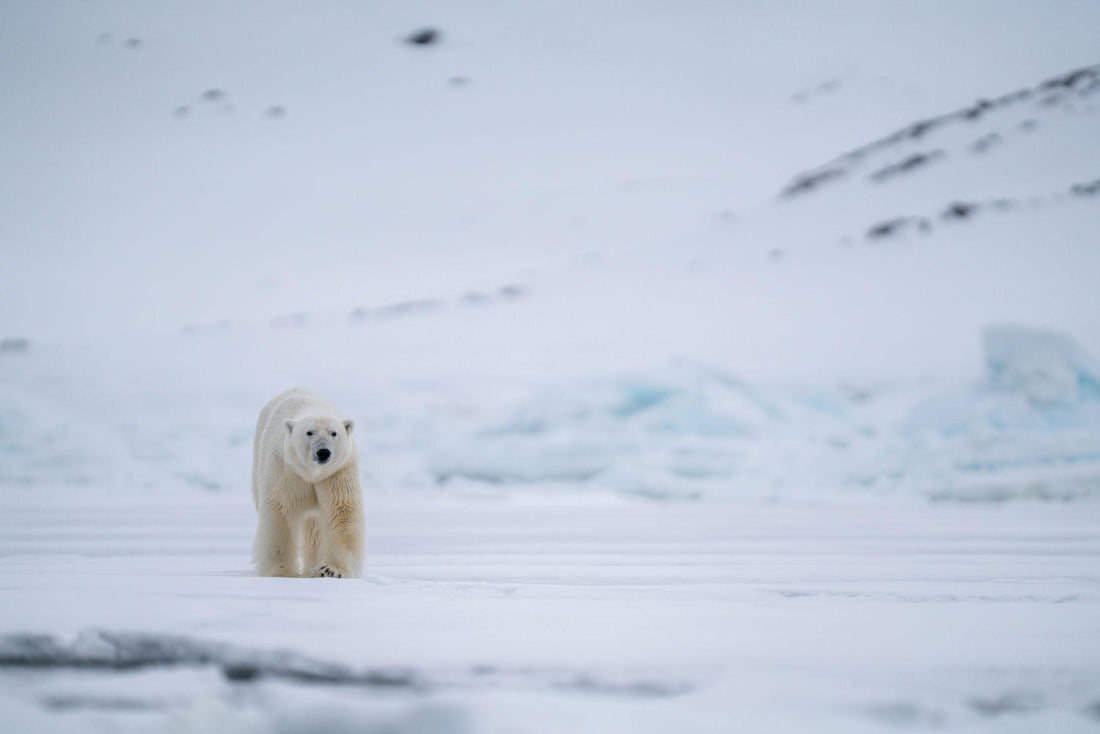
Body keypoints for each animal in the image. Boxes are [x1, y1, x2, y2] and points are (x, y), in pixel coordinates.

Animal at [251, 388, 364, 578]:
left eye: (334, 433)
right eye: (309, 432)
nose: (323, 452)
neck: (313, 473)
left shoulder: (337, 472)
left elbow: (342, 510)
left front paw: (331, 570)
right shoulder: (287, 470)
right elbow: (280, 511)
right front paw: (283, 571)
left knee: (315, 528)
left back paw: (314, 567)